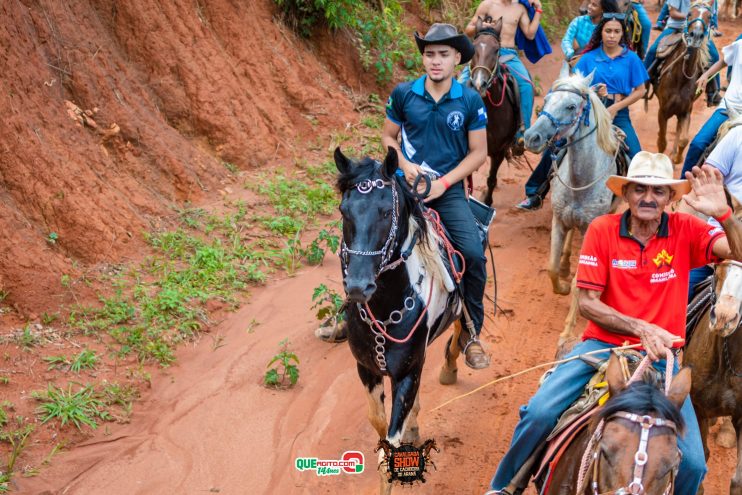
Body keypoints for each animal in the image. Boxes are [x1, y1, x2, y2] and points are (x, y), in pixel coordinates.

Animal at [336, 146, 464, 492]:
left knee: (463, 324)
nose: (358, 286)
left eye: (384, 212)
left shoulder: (407, 371)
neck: (385, 310)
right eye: (344, 211)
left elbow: (389, 447)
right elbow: (378, 424)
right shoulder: (367, 369)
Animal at [468, 15, 520, 205]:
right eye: (473, 48)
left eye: (496, 50)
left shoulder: (500, 150)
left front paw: (487, 201)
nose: (479, 84)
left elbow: (491, 179)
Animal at [528, 67, 624, 344]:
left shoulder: (591, 230)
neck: (581, 180)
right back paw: (565, 266)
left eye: (571, 106)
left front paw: (567, 331)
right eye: (547, 100)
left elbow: (580, 285)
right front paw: (559, 284)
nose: (531, 137)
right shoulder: (558, 220)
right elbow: (550, 268)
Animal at [652, 2, 716, 165]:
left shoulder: (686, 111)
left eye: (709, 16)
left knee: (679, 130)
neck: (680, 79)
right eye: (689, 14)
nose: (696, 36)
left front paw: (677, 158)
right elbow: (662, 141)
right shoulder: (662, 111)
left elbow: (684, 139)